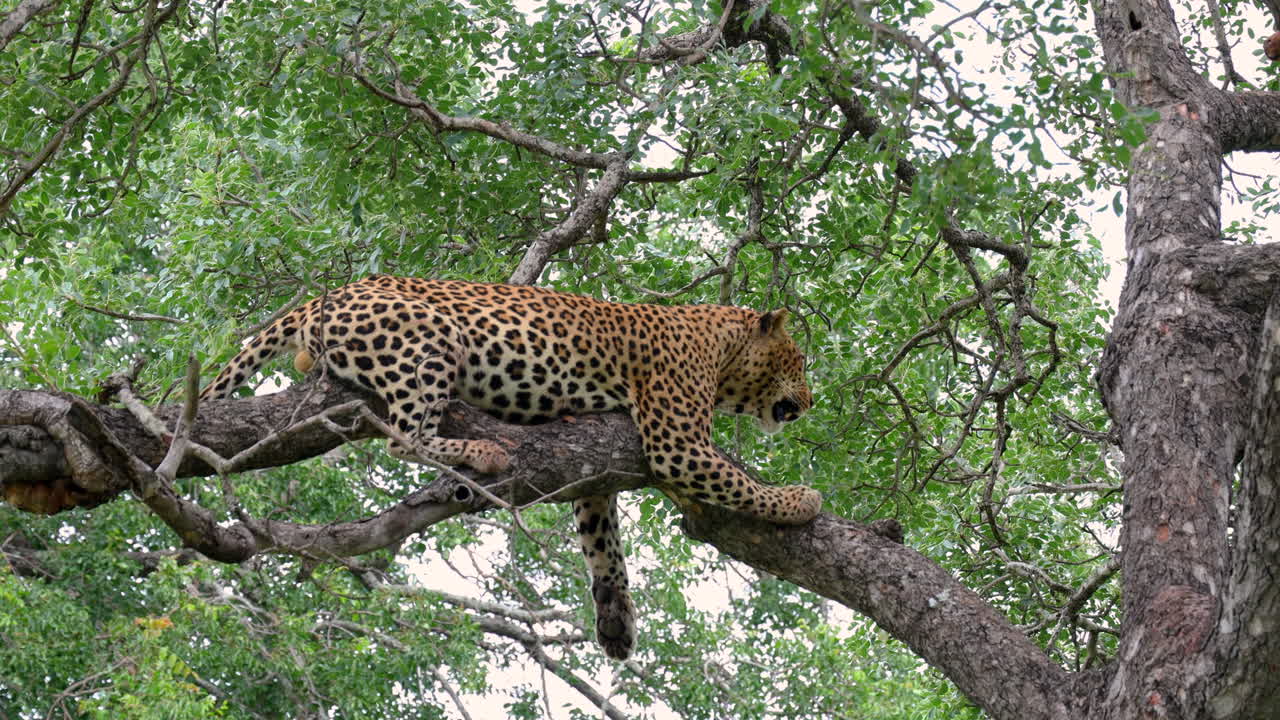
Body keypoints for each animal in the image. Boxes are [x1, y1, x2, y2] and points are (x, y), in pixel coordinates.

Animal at [200, 274, 823, 660]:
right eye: (797, 360)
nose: (811, 400)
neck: (721, 349)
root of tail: (321, 298)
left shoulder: (597, 458)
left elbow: (602, 538)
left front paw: (615, 618)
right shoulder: (677, 441)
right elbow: (741, 482)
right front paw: (798, 501)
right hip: (428, 342)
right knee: (405, 435)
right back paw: (484, 452)